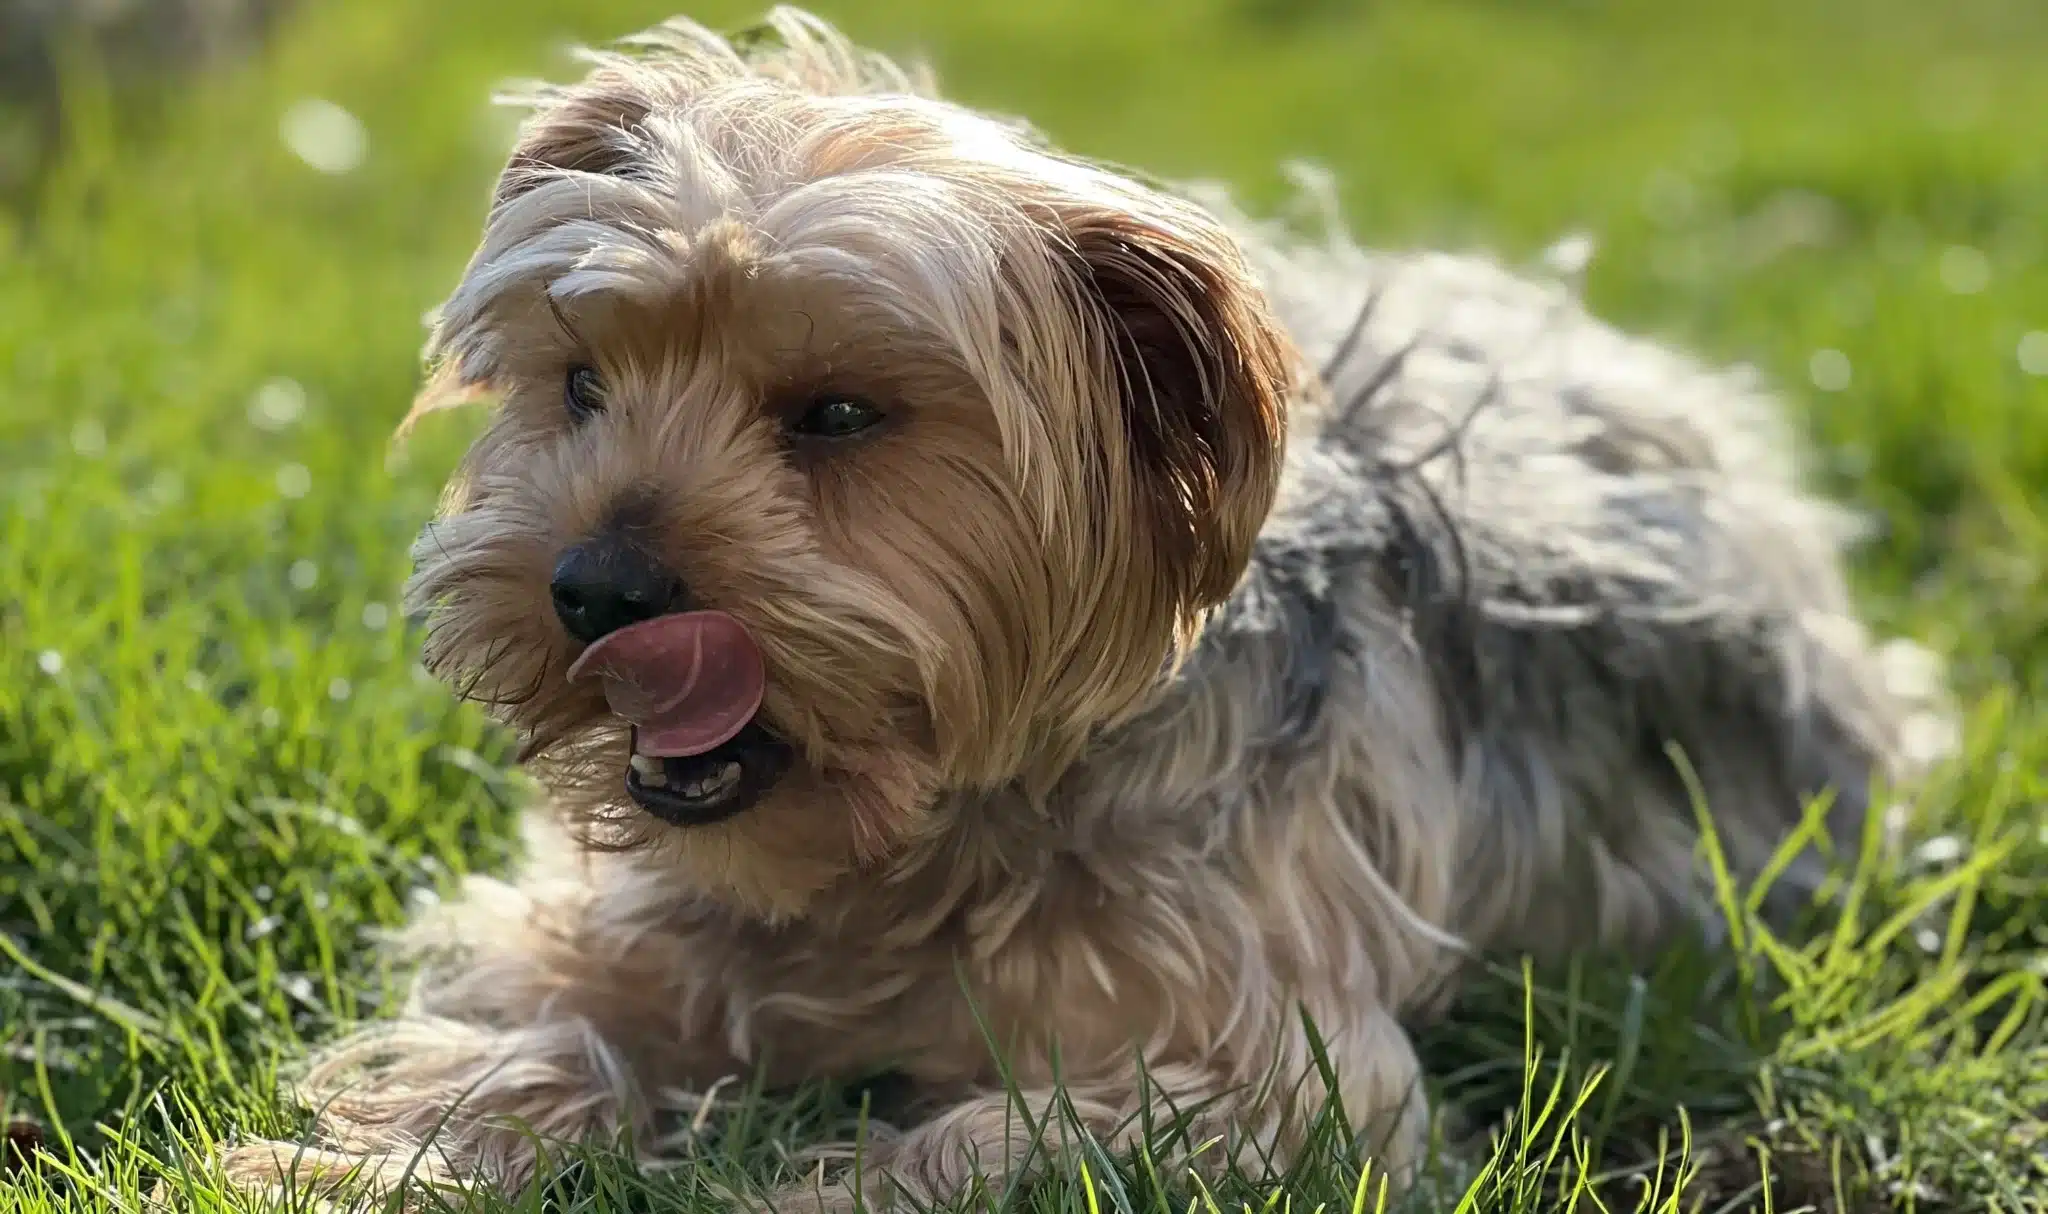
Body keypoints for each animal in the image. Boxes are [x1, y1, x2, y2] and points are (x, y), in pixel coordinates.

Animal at [224, 7, 1949, 1203]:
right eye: (581, 384)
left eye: (839, 415)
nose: (594, 587)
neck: (917, 844)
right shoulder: (625, 919)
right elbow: (546, 1007)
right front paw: (388, 1149)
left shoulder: (1272, 1073)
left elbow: (990, 1146)